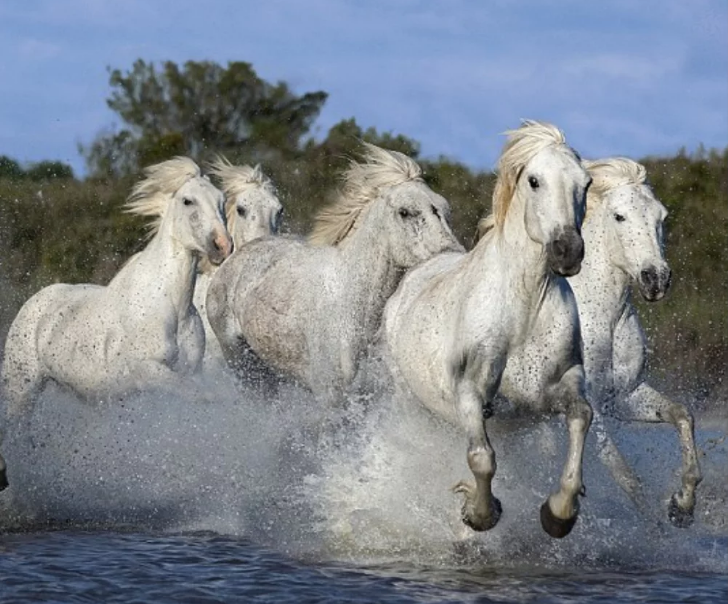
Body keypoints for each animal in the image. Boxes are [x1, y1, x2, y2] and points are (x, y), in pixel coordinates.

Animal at [1, 158, 232, 418]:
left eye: (222, 200)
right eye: (187, 201)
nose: (223, 245)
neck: (172, 306)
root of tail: (32, 302)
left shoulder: (192, 372)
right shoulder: (150, 373)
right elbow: (203, 396)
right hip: (21, 390)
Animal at [205, 143, 464, 404]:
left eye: (445, 209)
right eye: (404, 212)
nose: (452, 254)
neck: (351, 310)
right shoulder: (330, 397)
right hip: (241, 363)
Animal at [382, 121, 592, 536]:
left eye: (586, 184)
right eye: (534, 180)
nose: (568, 251)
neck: (523, 311)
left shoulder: (558, 386)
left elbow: (581, 417)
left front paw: (558, 513)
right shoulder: (470, 393)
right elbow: (482, 458)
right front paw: (479, 512)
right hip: (408, 401)